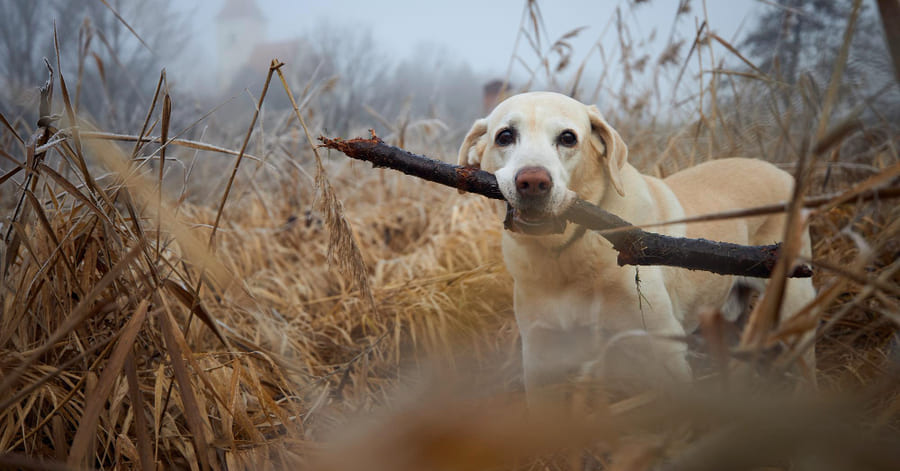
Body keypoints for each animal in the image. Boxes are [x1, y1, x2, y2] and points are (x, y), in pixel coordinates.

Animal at [458, 93, 816, 406]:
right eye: (505, 136)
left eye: (568, 138)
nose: (533, 182)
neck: (564, 257)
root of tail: (780, 171)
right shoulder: (541, 358)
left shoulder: (663, 345)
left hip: (795, 307)